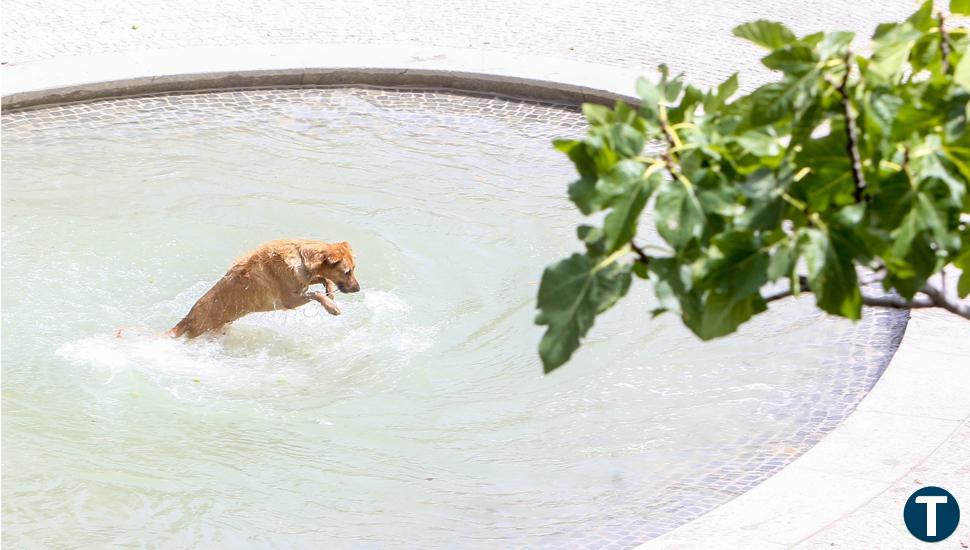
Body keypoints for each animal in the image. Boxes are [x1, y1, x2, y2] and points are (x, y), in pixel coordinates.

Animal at [168, 239, 362, 338]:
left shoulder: (303, 280)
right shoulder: (289, 301)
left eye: (354, 268)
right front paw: (332, 307)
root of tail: (187, 319)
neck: (301, 257)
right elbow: (316, 293)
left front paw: (330, 292)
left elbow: (321, 279)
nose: (358, 288)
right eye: (347, 271)